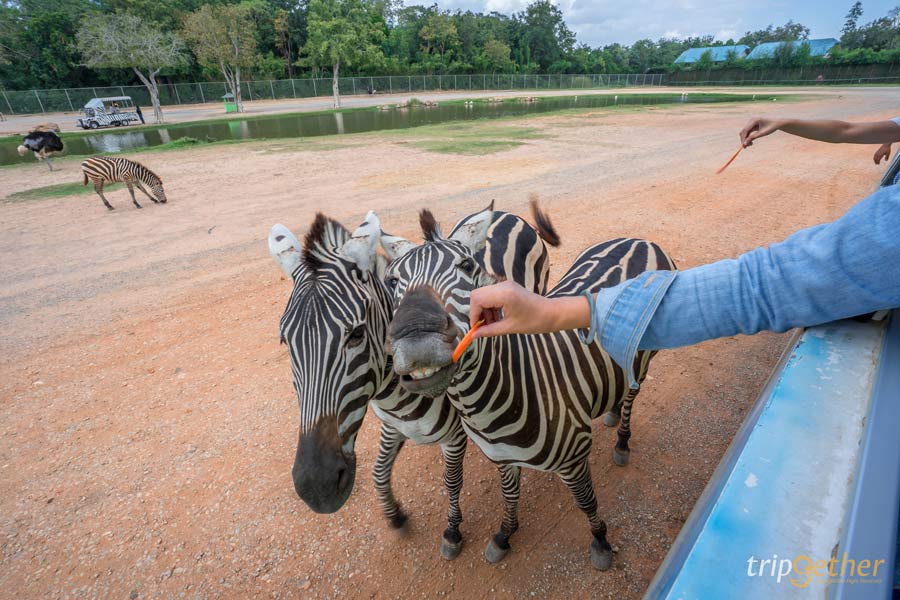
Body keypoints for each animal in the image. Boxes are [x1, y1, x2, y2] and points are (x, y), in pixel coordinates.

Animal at [268, 204, 560, 560]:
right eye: (285, 340)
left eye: (357, 334)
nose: (316, 486)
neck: (394, 398)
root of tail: (507, 213)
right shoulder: (393, 426)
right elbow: (379, 473)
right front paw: (396, 516)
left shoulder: (455, 436)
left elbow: (451, 481)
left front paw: (452, 532)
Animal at [380, 207, 676, 572]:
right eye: (393, 281)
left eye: (466, 266)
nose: (416, 339)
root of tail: (638, 239)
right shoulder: (501, 457)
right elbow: (510, 498)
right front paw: (504, 536)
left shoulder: (574, 458)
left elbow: (586, 502)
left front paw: (601, 541)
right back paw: (608, 410)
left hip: (646, 353)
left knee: (633, 394)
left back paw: (622, 441)